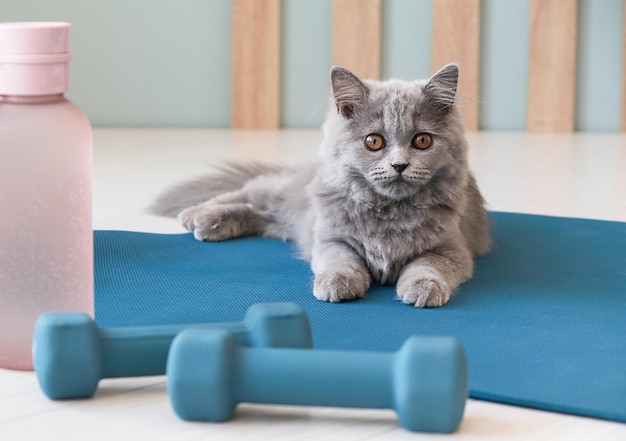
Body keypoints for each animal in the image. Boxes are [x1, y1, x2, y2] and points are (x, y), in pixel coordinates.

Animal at [150, 63, 488, 308]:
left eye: (422, 141)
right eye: (374, 141)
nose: (399, 165)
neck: (389, 212)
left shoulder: (452, 248)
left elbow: (428, 266)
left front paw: (422, 289)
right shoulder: (329, 238)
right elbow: (341, 260)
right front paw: (338, 284)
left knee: (257, 215)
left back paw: (214, 224)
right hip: (282, 194)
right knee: (248, 191)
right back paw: (197, 216)